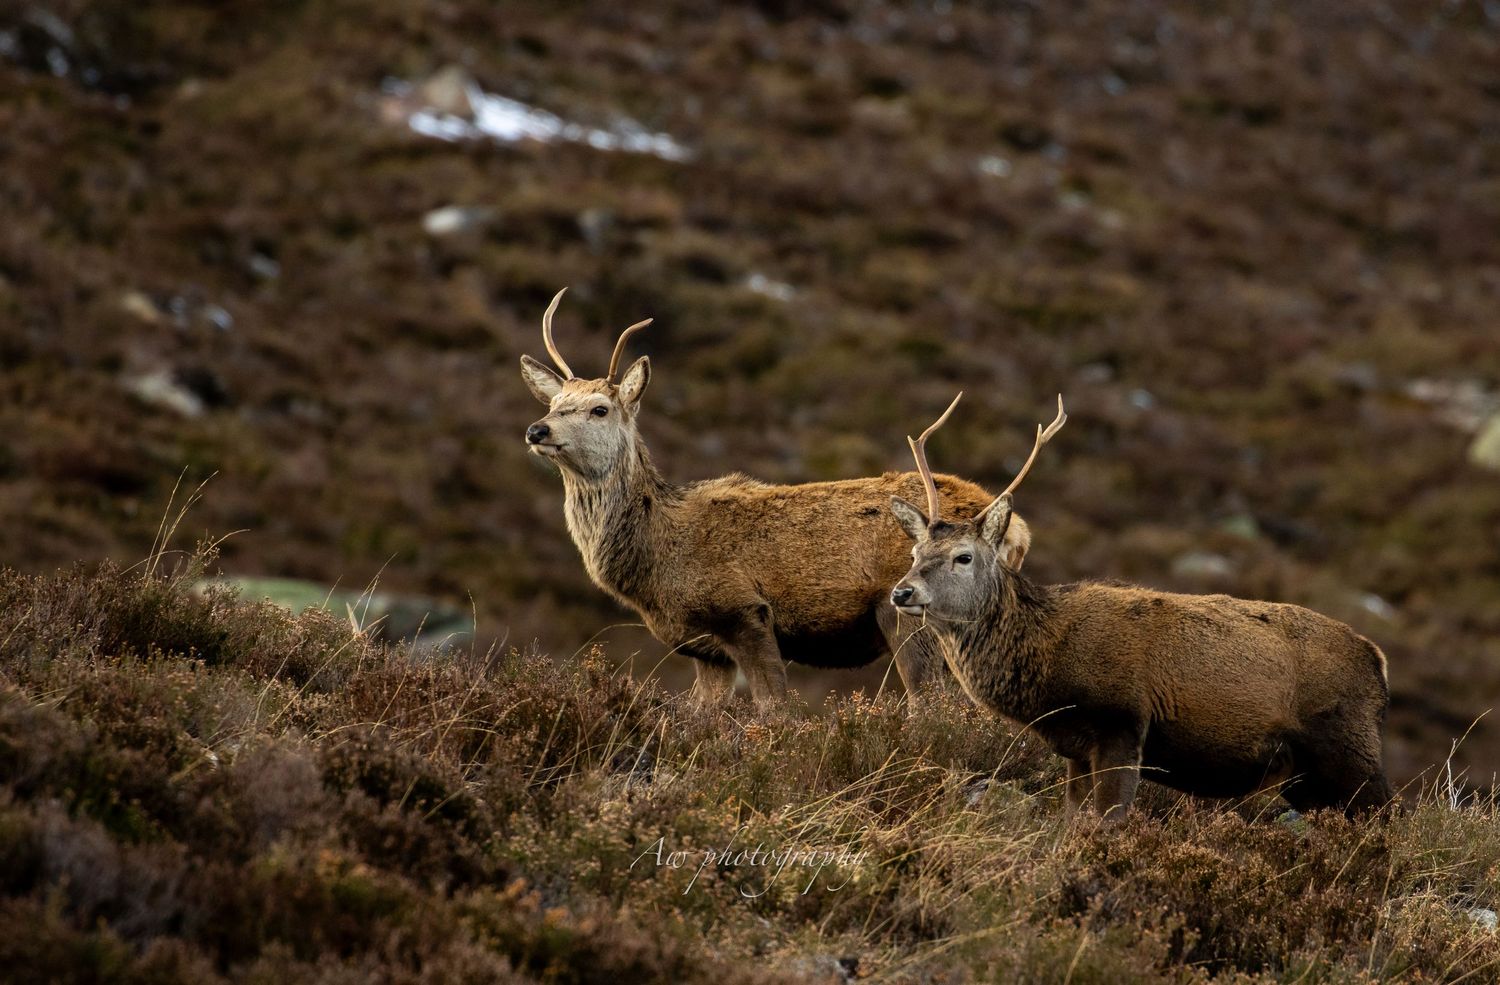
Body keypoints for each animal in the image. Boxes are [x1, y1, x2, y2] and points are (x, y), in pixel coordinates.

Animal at [519, 288, 1034, 708]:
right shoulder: (705, 650)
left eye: (599, 408)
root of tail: (1018, 531)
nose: (537, 429)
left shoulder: (745, 612)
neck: (657, 556)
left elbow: (775, 712)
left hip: (910, 616)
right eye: (554, 404)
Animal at [888, 393, 1394, 820]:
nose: (901, 592)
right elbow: (1072, 821)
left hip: (1349, 750)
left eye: (964, 556)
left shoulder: (1123, 722)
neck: (1051, 663)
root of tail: (1378, 663)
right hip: (1309, 777)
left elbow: (1110, 821)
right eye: (914, 553)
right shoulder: (1076, 747)